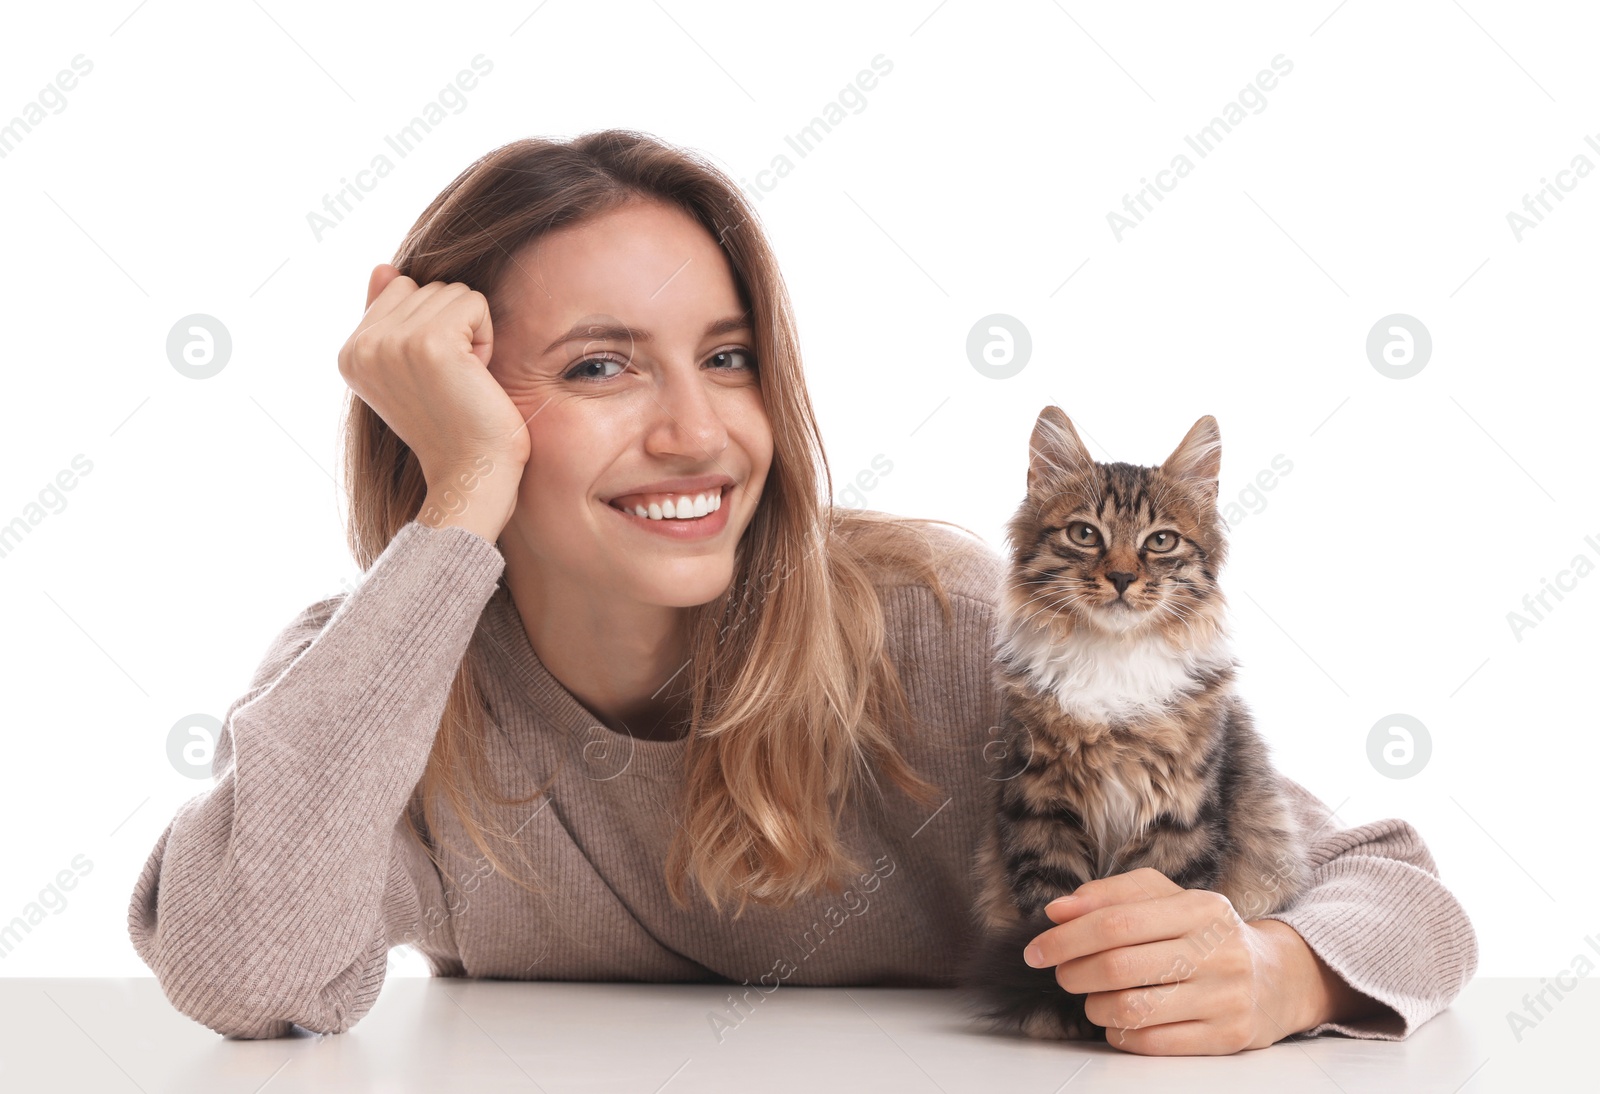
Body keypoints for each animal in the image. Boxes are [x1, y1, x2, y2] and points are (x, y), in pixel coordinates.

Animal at [960, 406, 1312, 1036]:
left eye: (1161, 542)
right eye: (1085, 534)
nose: (1123, 577)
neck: (1112, 661)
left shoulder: (1182, 816)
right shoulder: (1040, 809)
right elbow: (1049, 923)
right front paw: (1064, 1014)